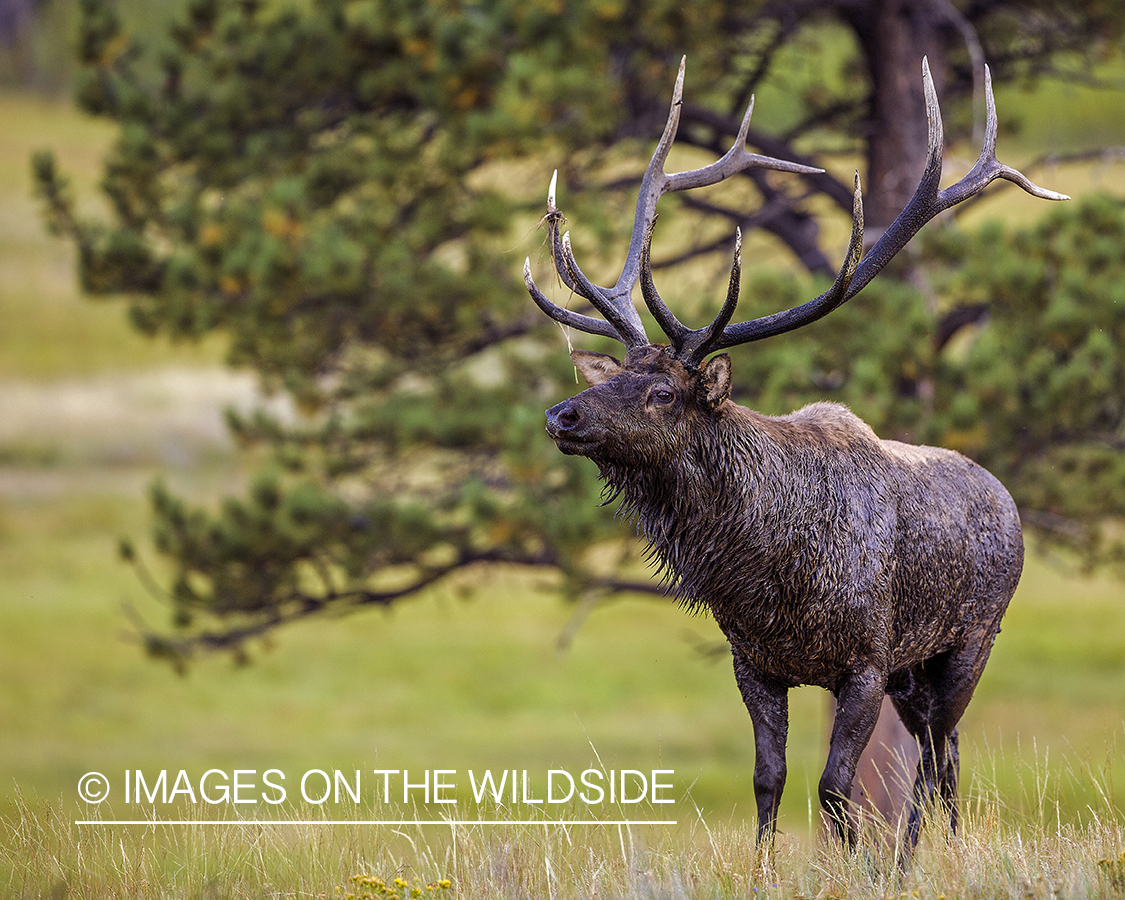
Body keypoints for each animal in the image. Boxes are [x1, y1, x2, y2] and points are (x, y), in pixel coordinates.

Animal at [522, 59, 1066, 859]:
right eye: (610, 377)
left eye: (661, 392)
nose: (561, 414)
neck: (768, 576)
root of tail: (1002, 495)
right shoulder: (755, 662)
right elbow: (768, 781)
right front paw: (764, 871)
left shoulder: (865, 661)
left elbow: (837, 790)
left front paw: (860, 870)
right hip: (915, 672)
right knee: (943, 757)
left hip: (968, 641)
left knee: (936, 760)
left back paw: (913, 860)